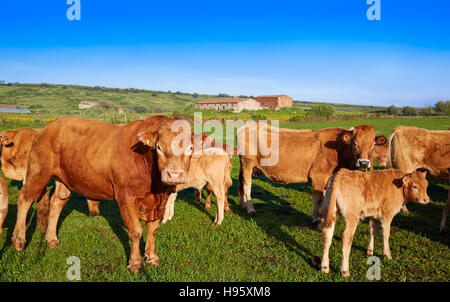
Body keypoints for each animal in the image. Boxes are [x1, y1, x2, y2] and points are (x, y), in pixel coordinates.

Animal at [11, 115, 192, 272]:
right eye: (159, 147)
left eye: (190, 148)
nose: (174, 175)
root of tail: (47, 127)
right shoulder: (125, 198)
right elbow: (136, 231)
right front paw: (135, 263)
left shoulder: (158, 204)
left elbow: (152, 230)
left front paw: (152, 257)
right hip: (38, 172)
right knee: (24, 199)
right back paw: (18, 240)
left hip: (64, 179)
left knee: (56, 203)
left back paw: (51, 239)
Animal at [237, 121, 374, 224]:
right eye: (355, 143)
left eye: (372, 144)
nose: (364, 162)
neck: (338, 147)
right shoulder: (319, 176)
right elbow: (318, 198)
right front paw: (316, 219)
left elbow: (325, 199)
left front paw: (324, 218)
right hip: (247, 162)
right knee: (247, 185)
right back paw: (250, 209)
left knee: (241, 183)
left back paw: (243, 205)